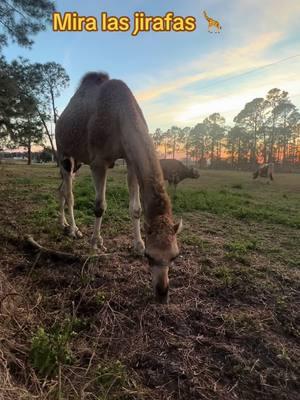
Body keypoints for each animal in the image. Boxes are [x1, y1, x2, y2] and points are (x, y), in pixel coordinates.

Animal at [55, 72, 183, 304]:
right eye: (150, 256)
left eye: (174, 256)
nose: (162, 292)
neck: (120, 114)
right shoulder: (98, 161)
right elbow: (99, 205)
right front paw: (95, 244)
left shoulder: (130, 160)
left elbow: (136, 208)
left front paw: (137, 244)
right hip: (64, 152)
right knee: (69, 193)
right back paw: (74, 230)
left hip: (77, 161)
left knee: (60, 189)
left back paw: (63, 224)